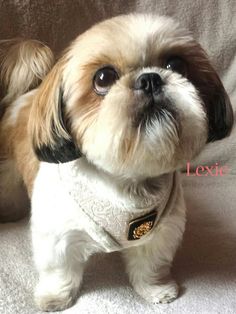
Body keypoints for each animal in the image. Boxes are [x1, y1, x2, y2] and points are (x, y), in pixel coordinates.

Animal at [0, 14, 233, 312]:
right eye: (103, 78)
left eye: (176, 64)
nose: (150, 79)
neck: (127, 182)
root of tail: (30, 93)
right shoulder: (58, 234)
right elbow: (59, 270)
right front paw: (55, 297)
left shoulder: (160, 230)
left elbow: (151, 264)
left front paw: (156, 289)